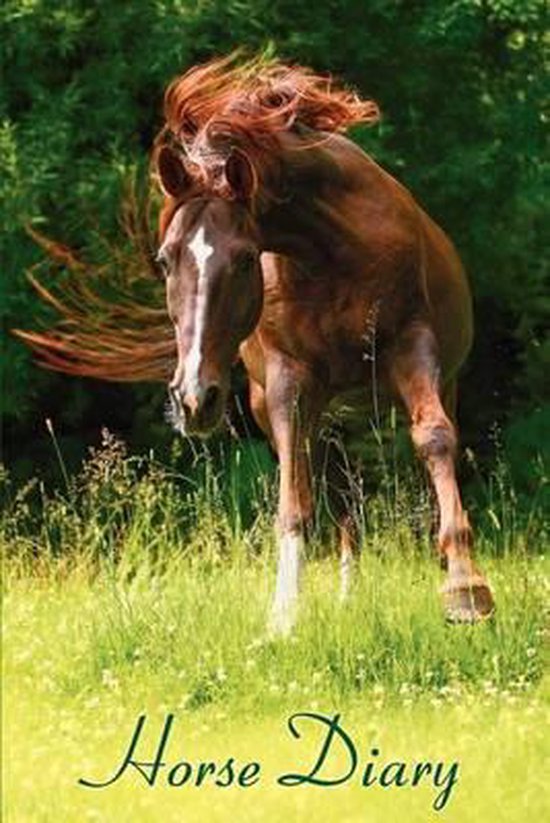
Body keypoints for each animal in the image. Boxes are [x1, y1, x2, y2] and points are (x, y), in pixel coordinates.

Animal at [151, 54, 495, 634]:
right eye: (164, 259)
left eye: (245, 258)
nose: (194, 399)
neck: (329, 250)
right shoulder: (289, 380)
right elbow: (294, 497)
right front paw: (283, 617)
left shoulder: (412, 346)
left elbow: (435, 440)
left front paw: (465, 588)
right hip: (307, 414)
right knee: (335, 496)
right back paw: (345, 598)